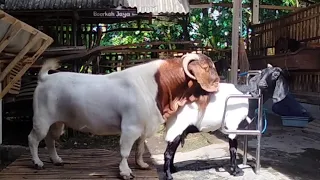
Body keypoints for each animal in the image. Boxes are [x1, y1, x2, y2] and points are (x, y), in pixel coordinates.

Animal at [29, 52, 220, 179]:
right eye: (207, 67)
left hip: (58, 122)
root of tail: (45, 78)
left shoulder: (143, 126)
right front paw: (125, 171)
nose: (218, 82)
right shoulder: (130, 127)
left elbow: (140, 148)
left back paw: (56, 160)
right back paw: (38, 163)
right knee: (33, 138)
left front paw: (141, 165)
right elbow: (125, 151)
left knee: (50, 139)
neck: (155, 85)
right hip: (41, 119)